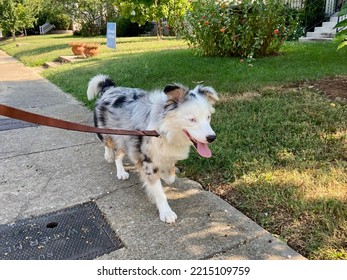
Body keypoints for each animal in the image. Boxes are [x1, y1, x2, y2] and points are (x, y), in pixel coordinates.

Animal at [87, 74, 219, 223]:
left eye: (208, 117)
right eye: (192, 119)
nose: (212, 137)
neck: (164, 130)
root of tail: (109, 88)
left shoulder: (166, 154)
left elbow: (171, 177)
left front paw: (165, 175)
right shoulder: (148, 161)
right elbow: (159, 191)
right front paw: (166, 212)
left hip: (126, 138)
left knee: (119, 154)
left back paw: (121, 171)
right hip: (109, 133)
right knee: (109, 146)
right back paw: (111, 159)